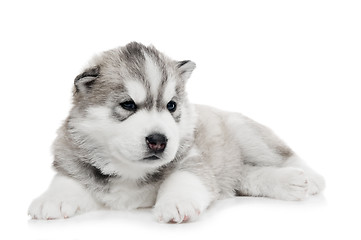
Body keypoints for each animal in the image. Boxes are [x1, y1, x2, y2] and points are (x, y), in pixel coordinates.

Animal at [28, 41, 324, 223]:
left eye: (171, 105)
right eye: (128, 105)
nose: (158, 141)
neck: (130, 171)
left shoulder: (191, 158)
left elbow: (185, 178)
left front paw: (177, 202)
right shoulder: (74, 161)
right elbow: (67, 180)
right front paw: (50, 200)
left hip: (244, 132)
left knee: (283, 154)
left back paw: (308, 177)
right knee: (245, 175)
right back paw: (289, 183)